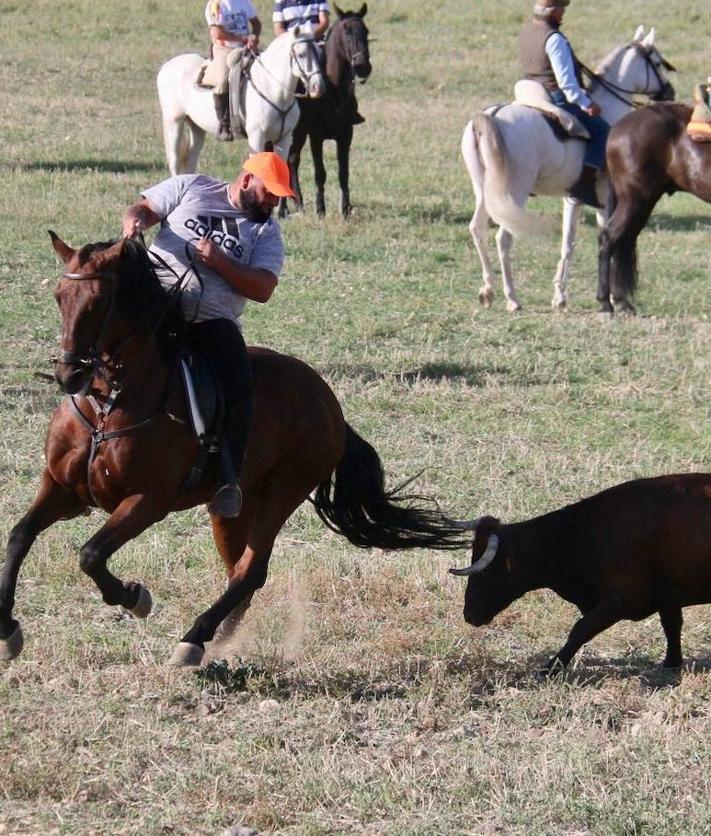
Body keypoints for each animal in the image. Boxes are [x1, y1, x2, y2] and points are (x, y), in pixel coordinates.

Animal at [1, 233, 472, 668]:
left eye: (99, 302)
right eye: (60, 297)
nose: (68, 375)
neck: (109, 404)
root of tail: (329, 404)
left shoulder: (147, 502)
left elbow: (91, 555)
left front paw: (135, 597)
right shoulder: (61, 487)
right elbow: (20, 536)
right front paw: (8, 632)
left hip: (282, 493)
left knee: (251, 570)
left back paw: (194, 638)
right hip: (231, 508)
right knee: (238, 573)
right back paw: (220, 635)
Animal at [157, 27, 326, 176]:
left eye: (319, 53)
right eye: (301, 54)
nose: (318, 87)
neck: (273, 91)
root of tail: (166, 67)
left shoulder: (283, 139)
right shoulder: (256, 138)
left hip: (196, 127)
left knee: (191, 160)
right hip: (174, 122)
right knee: (174, 161)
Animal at [280, 3, 372, 217]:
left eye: (366, 31)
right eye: (346, 31)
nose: (362, 66)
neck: (333, 89)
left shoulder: (346, 135)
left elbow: (343, 173)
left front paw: (345, 209)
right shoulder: (316, 136)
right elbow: (320, 173)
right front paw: (320, 209)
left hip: (299, 133)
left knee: (292, 160)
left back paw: (298, 203)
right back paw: (286, 207)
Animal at [464, 28, 676, 314]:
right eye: (657, 62)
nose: (669, 92)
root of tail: (492, 115)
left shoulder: (573, 199)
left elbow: (568, 244)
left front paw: (560, 297)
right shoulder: (606, 202)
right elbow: (608, 239)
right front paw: (613, 299)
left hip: (484, 192)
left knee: (478, 229)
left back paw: (487, 290)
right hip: (514, 193)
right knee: (503, 238)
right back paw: (512, 298)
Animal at [596, 103, 708, 314]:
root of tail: (617, 127)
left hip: (643, 203)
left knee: (623, 239)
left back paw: (622, 301)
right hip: (634, 200)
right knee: (609, 237)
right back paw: (605, 302)